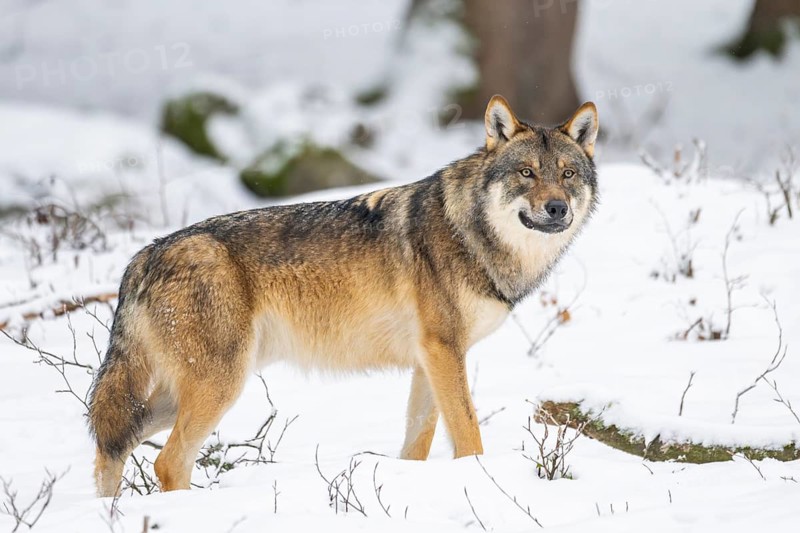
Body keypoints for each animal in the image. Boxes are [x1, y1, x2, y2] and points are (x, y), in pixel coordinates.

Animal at [88, 95, 599, 496]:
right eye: (527, 173)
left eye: (568, 173)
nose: (558, 208)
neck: (470, 233)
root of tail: (145, 255)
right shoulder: (444, 351)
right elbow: (469, 435)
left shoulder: (429, 360)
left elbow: (416, 444)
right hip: (219, 383)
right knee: (166, 460)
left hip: (181, 392)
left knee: (111, 444)